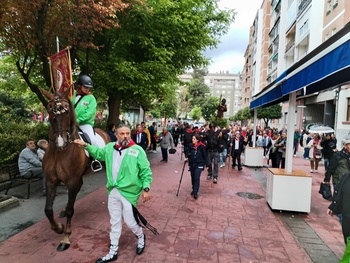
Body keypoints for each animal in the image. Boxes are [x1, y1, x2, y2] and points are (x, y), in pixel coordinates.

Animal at [40, 88, 110, 252]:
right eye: (50, 110)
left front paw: (65, 238)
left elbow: (72, 210)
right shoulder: (51, 181)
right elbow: (48, 209)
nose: (61, 142)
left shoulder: (71, 181)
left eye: (67, 111)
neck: (59, 153)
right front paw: (58, 227)